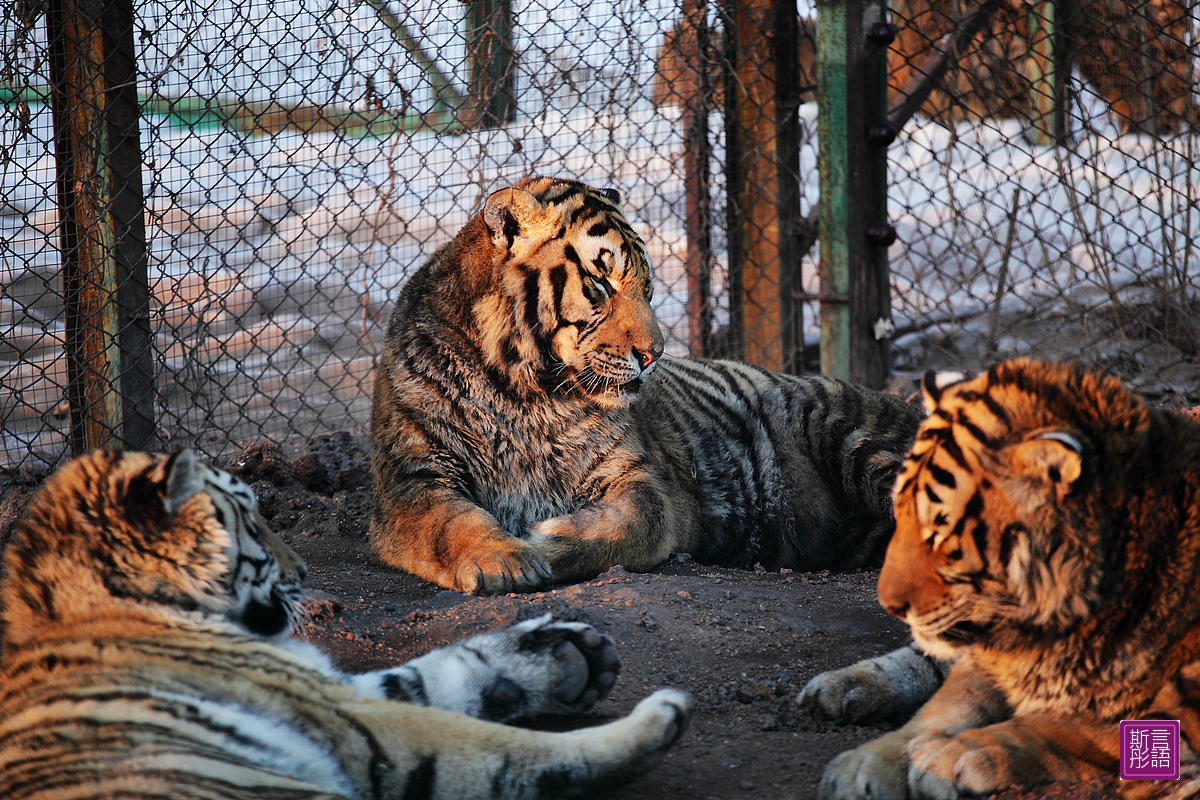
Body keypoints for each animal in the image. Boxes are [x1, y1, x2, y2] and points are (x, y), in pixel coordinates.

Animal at [0, 450, 696, 800]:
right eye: (248, 518)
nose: (302, 569)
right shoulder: (344, 718)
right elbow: (504, 749)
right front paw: (651, 724)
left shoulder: (327, 687)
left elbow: (428, 671)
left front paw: (561, 655)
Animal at [364, 178, 916, 597]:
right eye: (600, 283)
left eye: (647, 288)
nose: (655, 355)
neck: (523, 393)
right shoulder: (412, 478)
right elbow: (450, 523)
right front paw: (503, 558)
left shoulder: (639, 478)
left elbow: (629, 524)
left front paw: (545, 540)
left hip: (850, 439)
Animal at [801, 357, 1200, 800]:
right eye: (899, 511)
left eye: (940, 530)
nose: (889, 605)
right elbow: (944, 704)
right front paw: (867, 762)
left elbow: (1062, 725)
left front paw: (950, 756)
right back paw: (840, 688)